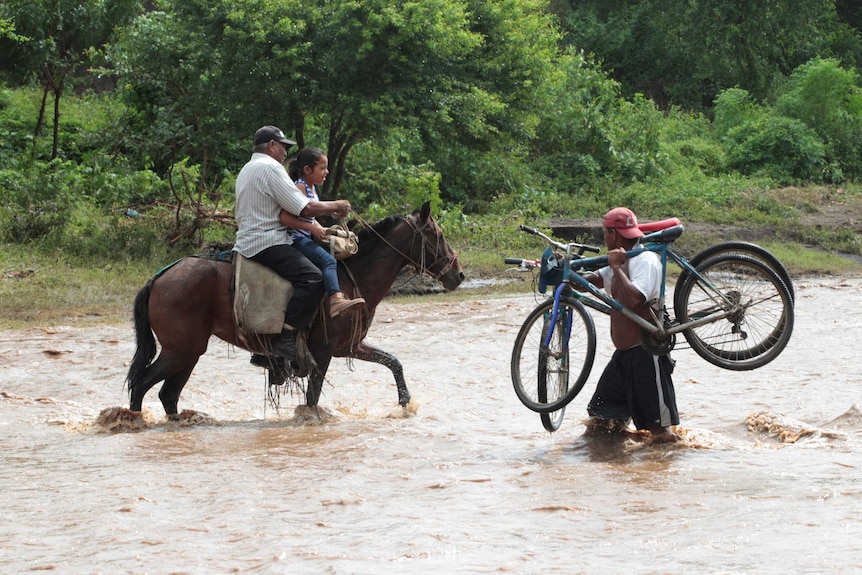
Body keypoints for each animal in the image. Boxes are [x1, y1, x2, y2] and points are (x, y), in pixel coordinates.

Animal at [125, 202, 466, 418]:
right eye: (438, 236)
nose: (458, 274)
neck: (352, 278)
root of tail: (160, 277)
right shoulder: (323, 351)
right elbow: (312, 398)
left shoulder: (350, 346)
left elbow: (393, 363)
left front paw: (406, 404)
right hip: (180, 351)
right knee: (141, 385)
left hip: (188, 352)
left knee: (168, 395)